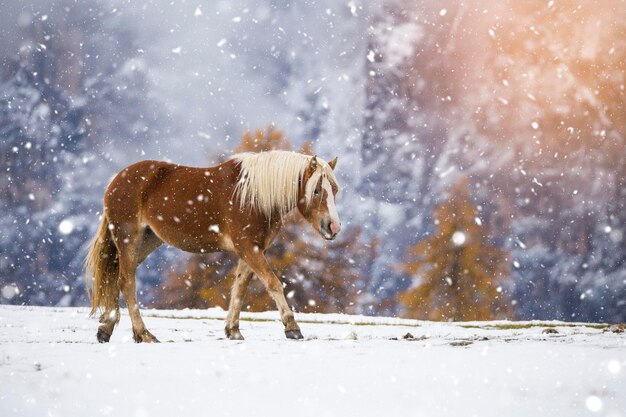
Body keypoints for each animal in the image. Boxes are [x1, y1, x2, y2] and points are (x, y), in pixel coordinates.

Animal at [84, 150, 338, 342]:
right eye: (316, 190)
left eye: (334, 190)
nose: (333, 227)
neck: (253, 195)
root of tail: (116, 181)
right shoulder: (249, 248)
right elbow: (273, 283)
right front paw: (292, 327)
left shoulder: (253, 250)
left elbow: (240, 287)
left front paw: (233, 330)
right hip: (128, 239)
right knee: (126, 282)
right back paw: (143, 334)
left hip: (146, 242)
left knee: (116, 276)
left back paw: (105, 329)